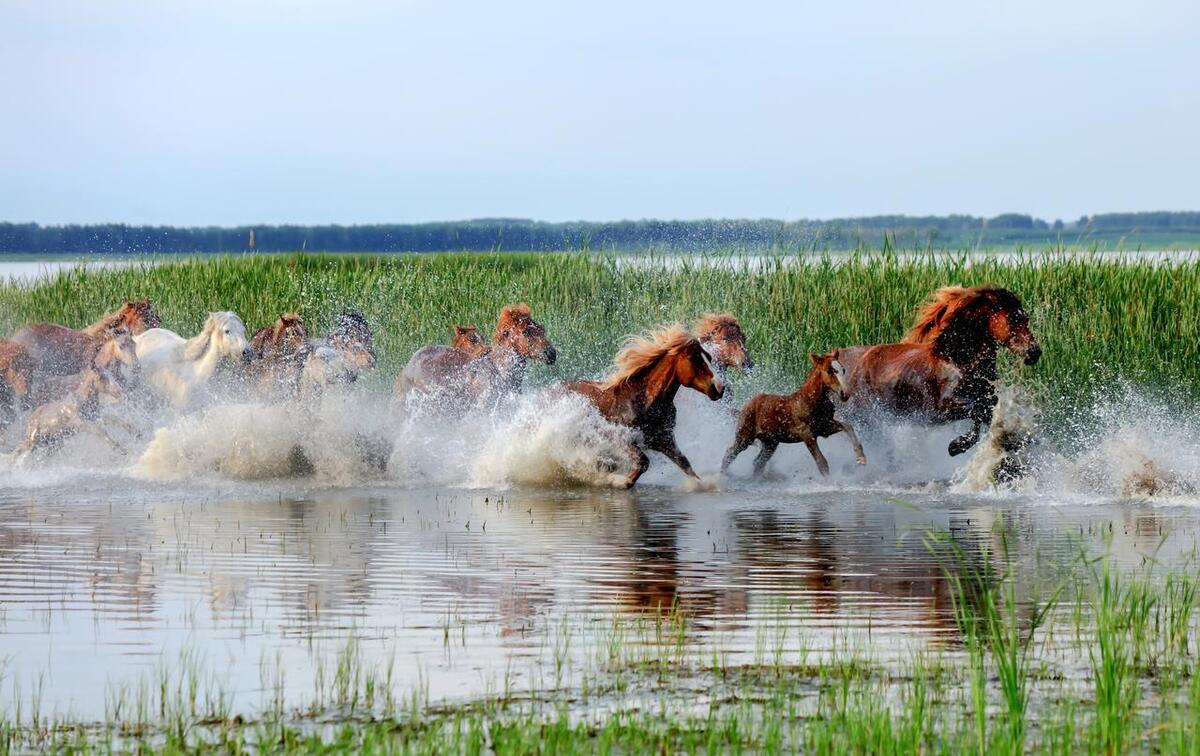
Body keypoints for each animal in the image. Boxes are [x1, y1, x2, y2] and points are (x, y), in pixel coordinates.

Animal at [561, 326, 720, 492]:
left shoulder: (664, 439)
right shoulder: (621, 439)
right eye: (694, 358)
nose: (719, 388)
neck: (645, 401)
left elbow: (685, 463)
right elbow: (643, 462)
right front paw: (619, 481)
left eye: (709, 357)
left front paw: (702, 484)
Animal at [720, 350, 864, 480]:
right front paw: (830, 483)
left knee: (758, 462)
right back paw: (722, 477)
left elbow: (848, 426)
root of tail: (746, 404)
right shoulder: (807, 434)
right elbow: (821, 462)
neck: (812, 401)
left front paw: (861, 458)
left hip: (770, 443)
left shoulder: (824, 427)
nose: (845, 394)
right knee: (729, 454)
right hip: (745, 437)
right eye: (829, 371)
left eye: (843, 369)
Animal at [835, 285, 1041, 456]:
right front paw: (957, 446)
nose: (1034, 352)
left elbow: (987, 410)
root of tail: (859, 365)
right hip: (870, 418)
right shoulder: (940, 409)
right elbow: (979, 409)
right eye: (1013, 318)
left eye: (1026, 318)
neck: (960, 361)